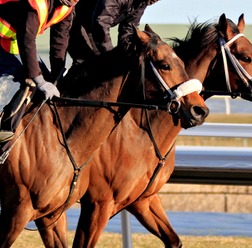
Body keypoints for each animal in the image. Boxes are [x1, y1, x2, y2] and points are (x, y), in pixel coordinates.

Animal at [71, 13, 252, 248]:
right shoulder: (98, 203)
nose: (199, 111)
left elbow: (174, 240)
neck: (141, 130)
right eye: (246, 57)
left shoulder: (143, 199)